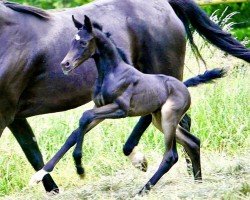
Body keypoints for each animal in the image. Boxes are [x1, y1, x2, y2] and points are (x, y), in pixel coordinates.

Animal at [30, 16, 226, 195]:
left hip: (168, 118)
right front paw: (40, 174)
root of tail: (184, 86)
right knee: (192, 142)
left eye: (84, 42)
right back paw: (198, 184)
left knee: (171, 155)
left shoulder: (120, 110)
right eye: (72, 41)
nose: (65, 64)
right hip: (158, 119)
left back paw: (142, 191)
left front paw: (80, 167)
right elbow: (75, 131)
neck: (112, 73)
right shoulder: (100, 109)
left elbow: (84, 116)